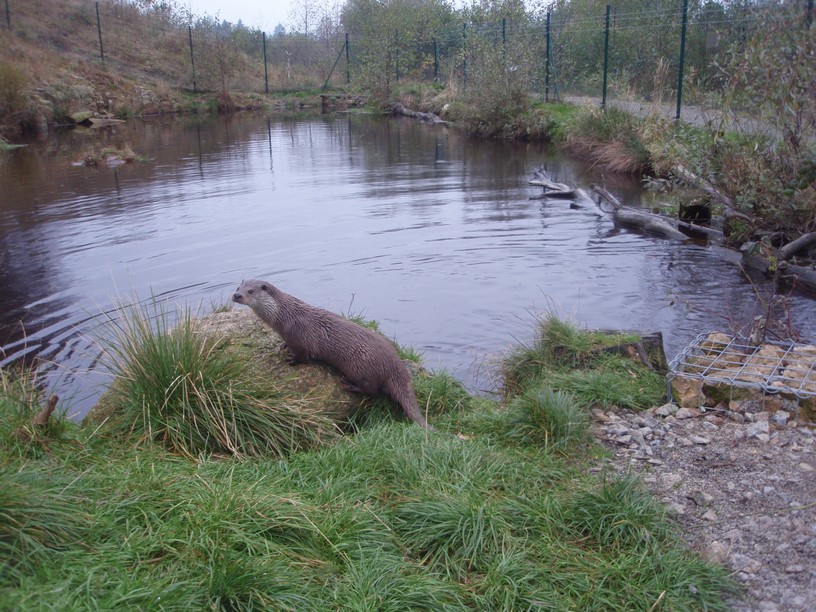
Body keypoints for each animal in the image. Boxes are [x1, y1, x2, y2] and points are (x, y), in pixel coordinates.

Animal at [233, 279, 432, 430]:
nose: (236, 295)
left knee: (372, 390)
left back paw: (349, 385)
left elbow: (303, 355)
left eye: (250, 291)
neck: (283, 316)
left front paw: (291, 359)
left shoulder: (300, 337)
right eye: (237, 287)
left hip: (359, 365)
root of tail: (395, 364)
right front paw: (283, 345)